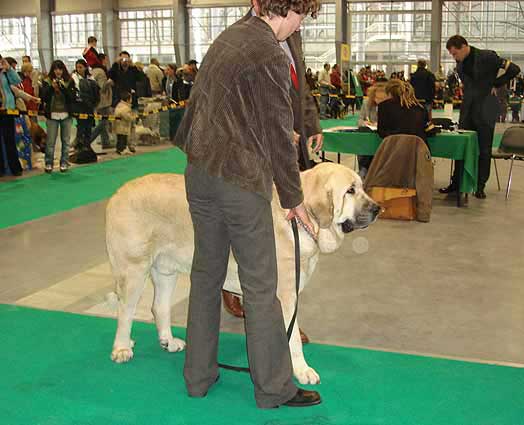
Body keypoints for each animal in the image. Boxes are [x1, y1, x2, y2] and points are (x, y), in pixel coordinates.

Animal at [106, 162, 378, 384]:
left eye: (361, 187)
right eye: (350, 191)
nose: (378, 208)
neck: (301, 221)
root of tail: (117, 194)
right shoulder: (285, 296)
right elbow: (293, 339)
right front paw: (301, 370)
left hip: (165, 270)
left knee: (159, 306)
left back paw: (169, 342)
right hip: (134, 269)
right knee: (125, 310)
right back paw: (121, 348)